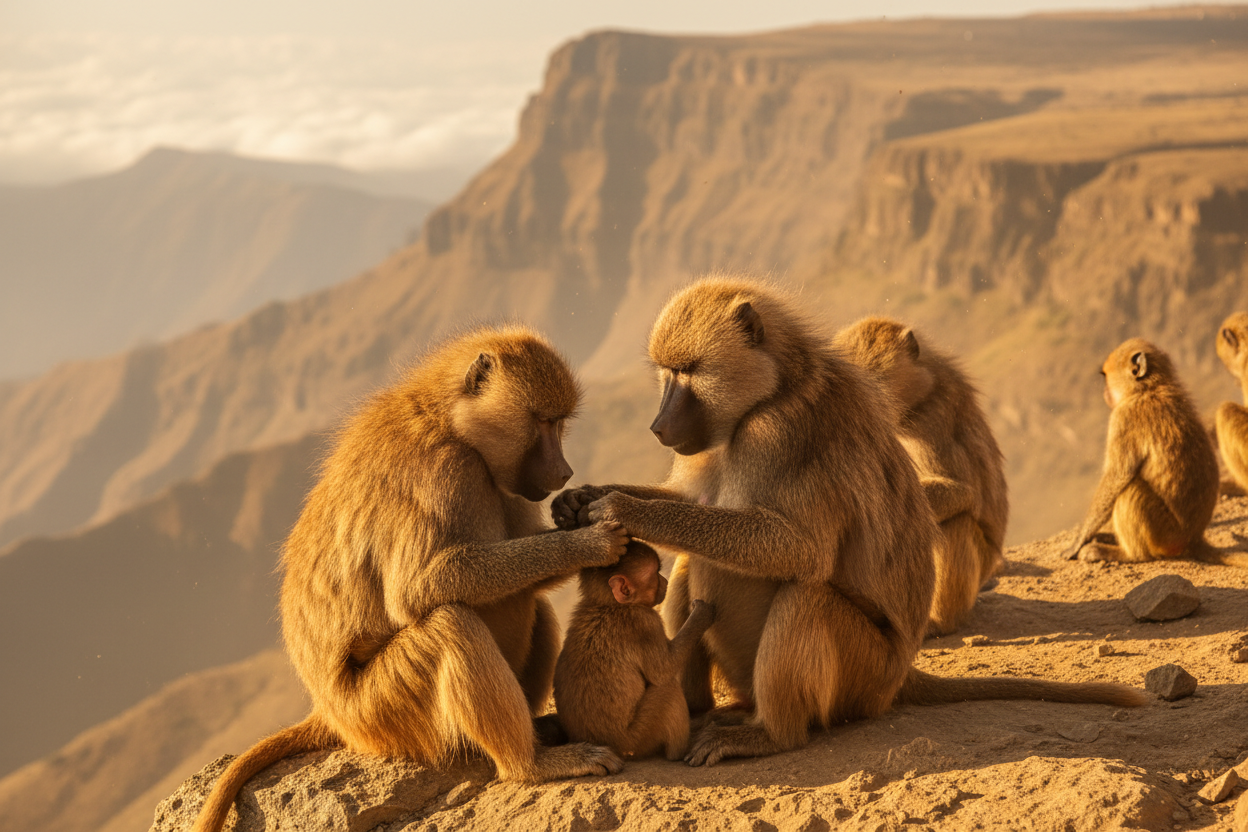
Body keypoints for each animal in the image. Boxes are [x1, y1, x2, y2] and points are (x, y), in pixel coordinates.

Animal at [192, 326, 626, 832]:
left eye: (559, 422)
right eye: (543, 421)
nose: (564, 472)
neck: (448, 419)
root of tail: (330, 712)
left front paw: (574, 511)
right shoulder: (445, 471)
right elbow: (419, 588)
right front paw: (589, 543)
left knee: (527, 602)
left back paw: (541, 733)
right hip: (384, 710)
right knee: (450, 625)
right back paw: (532, 764)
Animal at [553, 541, 715, 760]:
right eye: (655, 574)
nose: (664, 581)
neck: (610, 605)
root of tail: (614, 746)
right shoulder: (645, 622)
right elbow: (663, 671)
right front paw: (701, 615)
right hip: (638, 740)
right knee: (668, 689)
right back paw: (681, 750)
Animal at [1065, 337, 1247, 567]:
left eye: (1106, 377)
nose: (1105, 394)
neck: (1148, 388)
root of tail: (1194, 539)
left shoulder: (1124, 417)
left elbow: (1118, 476)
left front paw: (1078, 542)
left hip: (1166, 535)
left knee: (1130, 488)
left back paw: (1129, 555)